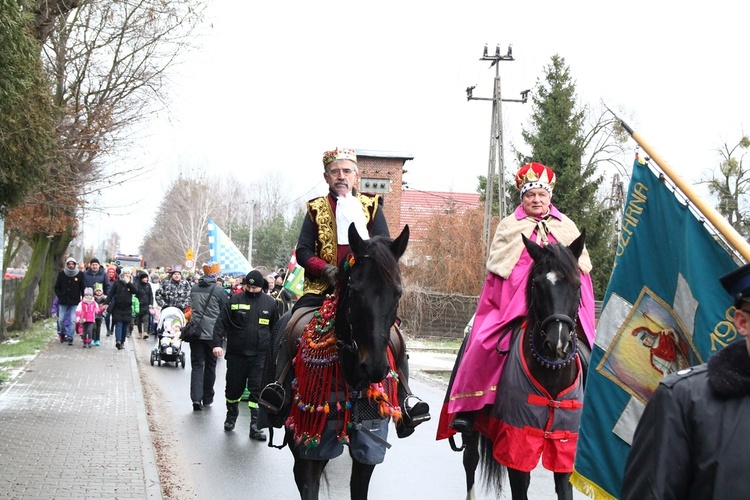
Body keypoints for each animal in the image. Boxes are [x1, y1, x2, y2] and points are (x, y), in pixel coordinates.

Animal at [262, 226, 426, 500]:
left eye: (398, 293)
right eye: (356, 291)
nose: (375, 367)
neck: (352, 376)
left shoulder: (367, 451)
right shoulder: (310, 451)